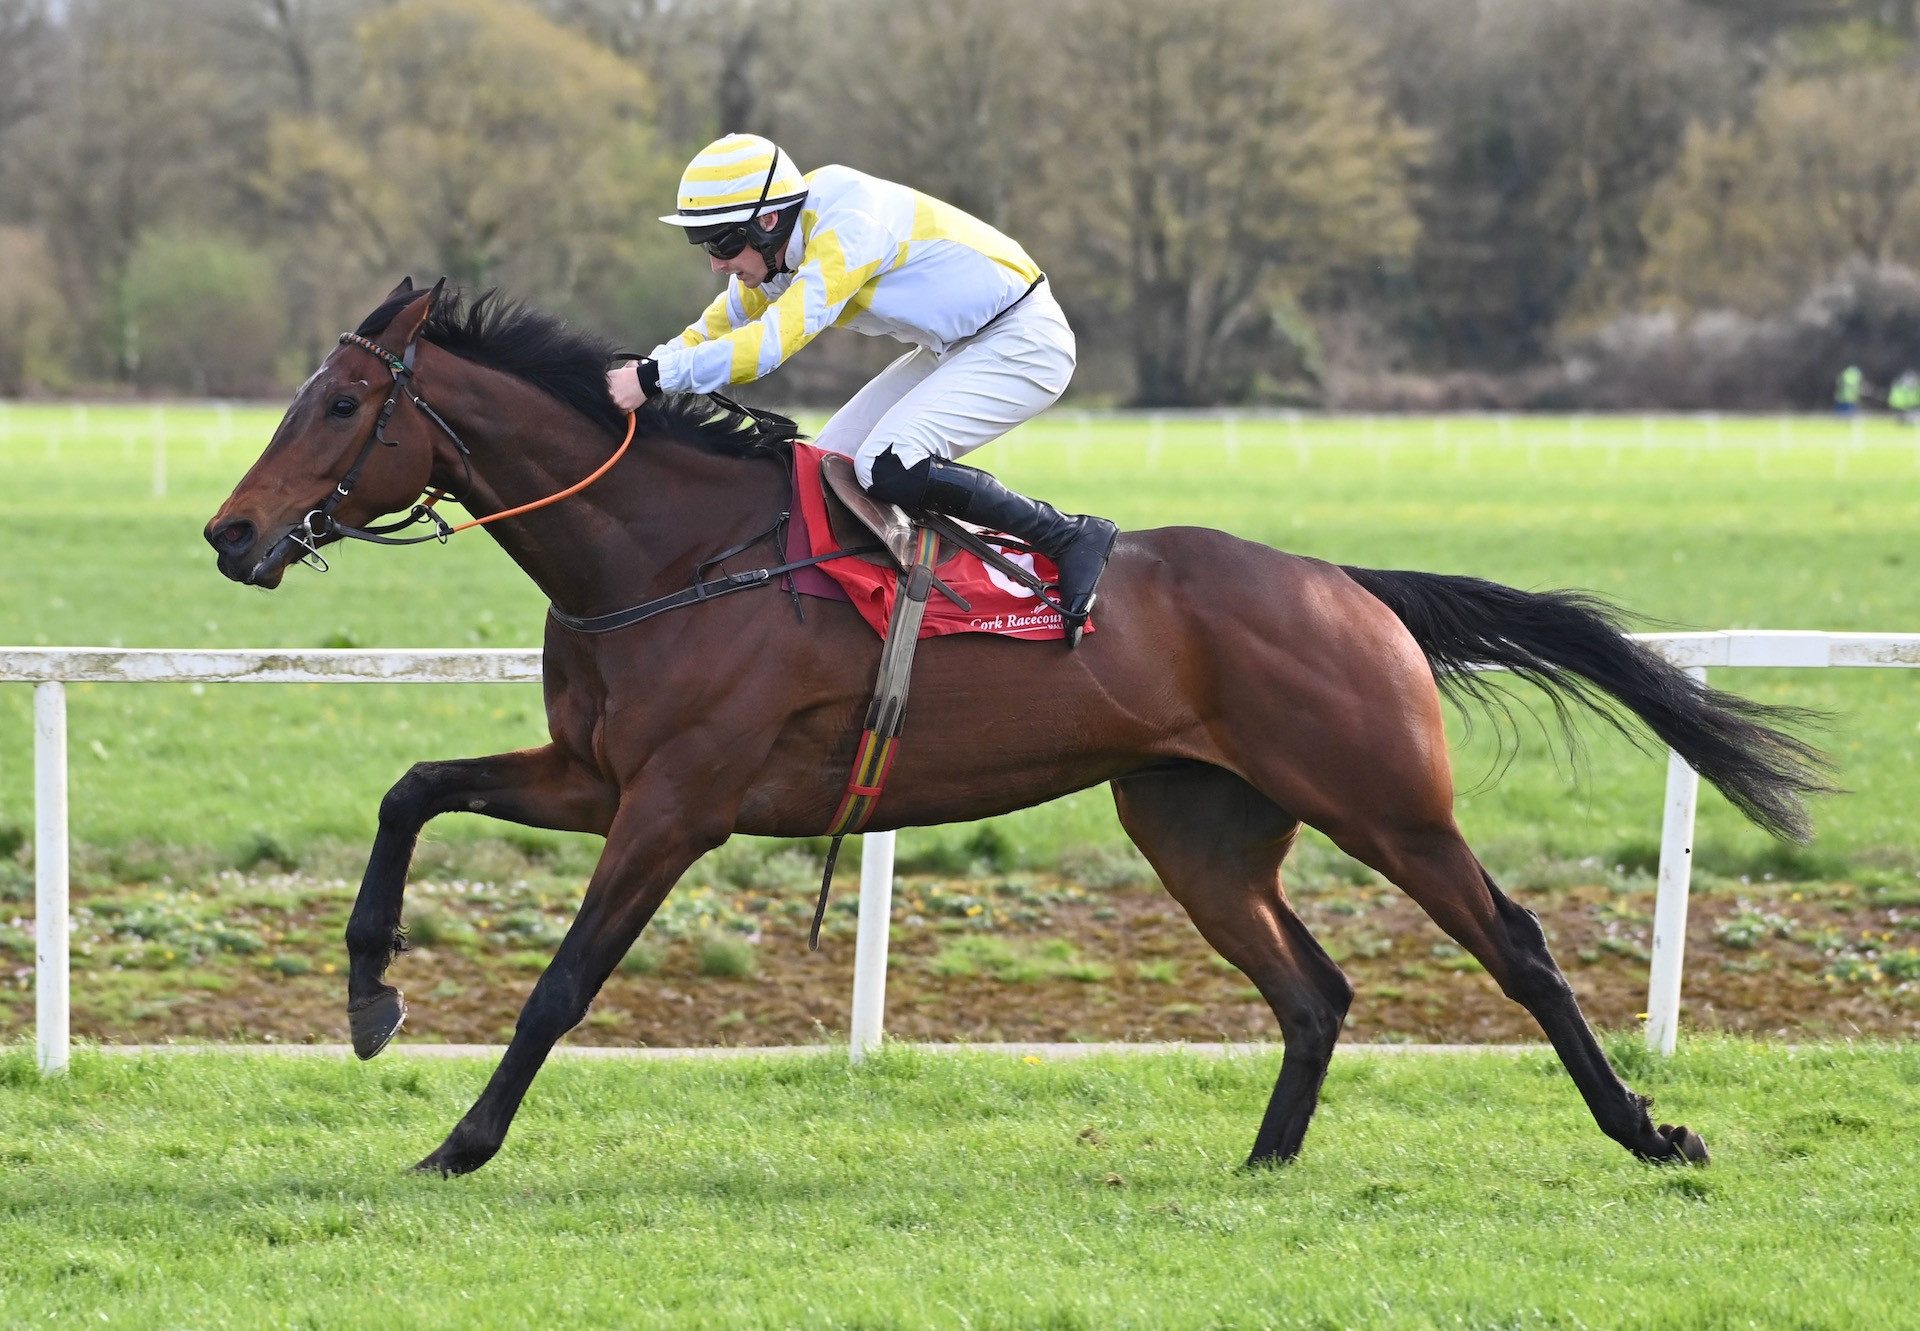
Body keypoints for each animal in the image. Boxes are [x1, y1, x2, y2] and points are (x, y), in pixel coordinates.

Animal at [202, 280, 1820, 1175]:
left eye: (339, 403)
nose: (231, 533)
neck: (669, 552)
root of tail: (1347, 584)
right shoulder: (596, 773)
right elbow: (414, 787)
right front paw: (368, 992)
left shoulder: (676, 803)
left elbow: (561, 985)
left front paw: (461, 1139)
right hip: (1196, 826)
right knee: (1314, 991)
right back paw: (1264, 1159)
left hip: (1388, 802)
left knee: (1518, 948)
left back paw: (1647, 1129)